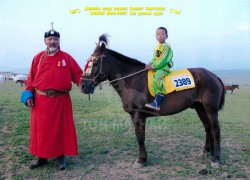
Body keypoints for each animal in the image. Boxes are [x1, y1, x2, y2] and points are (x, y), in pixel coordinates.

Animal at [80, 34, 227, 169]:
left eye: (95, 62)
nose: (82, 85)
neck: (131, 81)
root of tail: (214, 76)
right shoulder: (134, 116)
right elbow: (139, 136)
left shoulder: (138, 115)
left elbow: (140, 137)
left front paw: (141, 159)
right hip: (200, 108)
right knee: (208, 127)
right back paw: (207, 151)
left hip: (211, 109)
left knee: (215, 130)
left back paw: (215, 158)